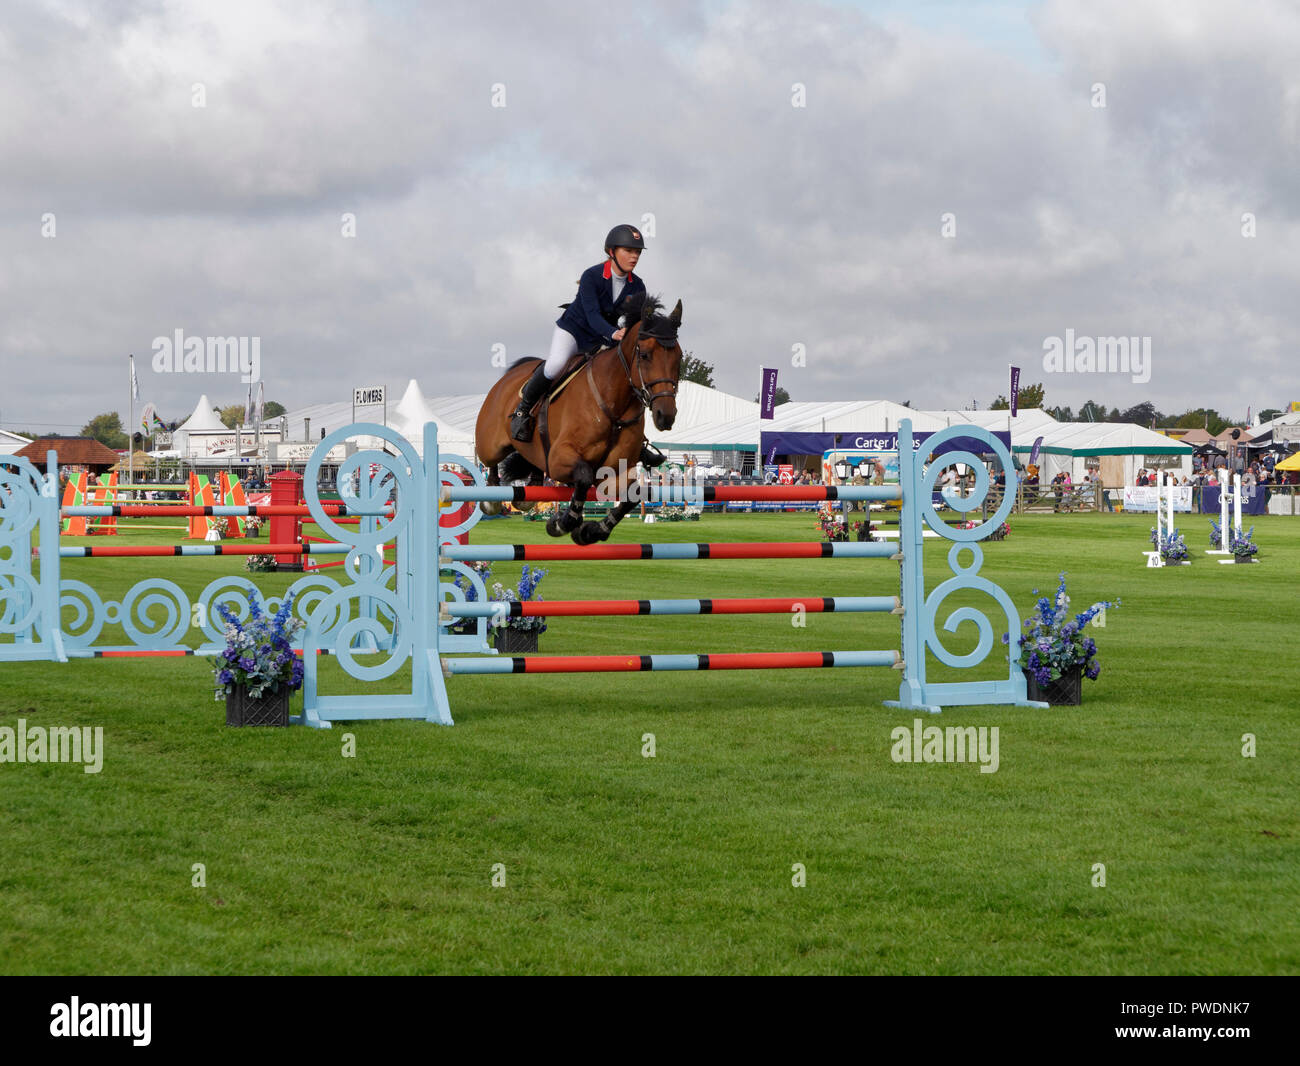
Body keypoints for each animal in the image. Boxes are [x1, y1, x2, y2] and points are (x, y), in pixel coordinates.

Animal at [475, 295, 681, 546]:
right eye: (645, 355)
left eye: (679, 358)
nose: (665, 415)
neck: (613, 406)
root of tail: (508, 377)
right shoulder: (559, 458)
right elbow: (583, 477)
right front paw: (562, 523)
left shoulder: (614, 472)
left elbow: (633, 496)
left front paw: (592, 530)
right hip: (491, 445)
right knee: (490, 462)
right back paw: (492, 499)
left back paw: (529, 493)